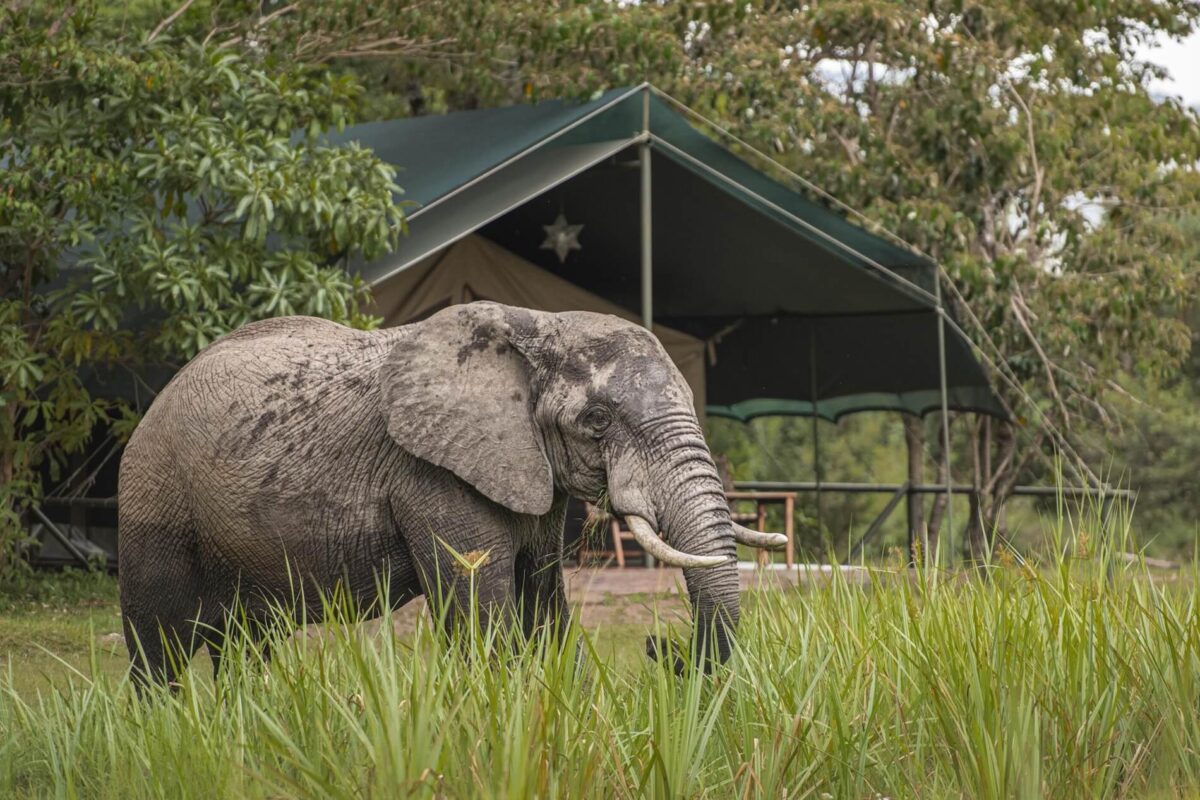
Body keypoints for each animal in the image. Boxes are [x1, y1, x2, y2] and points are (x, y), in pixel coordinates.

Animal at [117, 301, 785, 684]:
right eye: (597, 420)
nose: (659, 647)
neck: (536, 326)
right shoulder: (431, 473)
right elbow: (483, 612)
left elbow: (544, 604)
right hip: (154, 493)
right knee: (159, 644)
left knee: (245, 644)